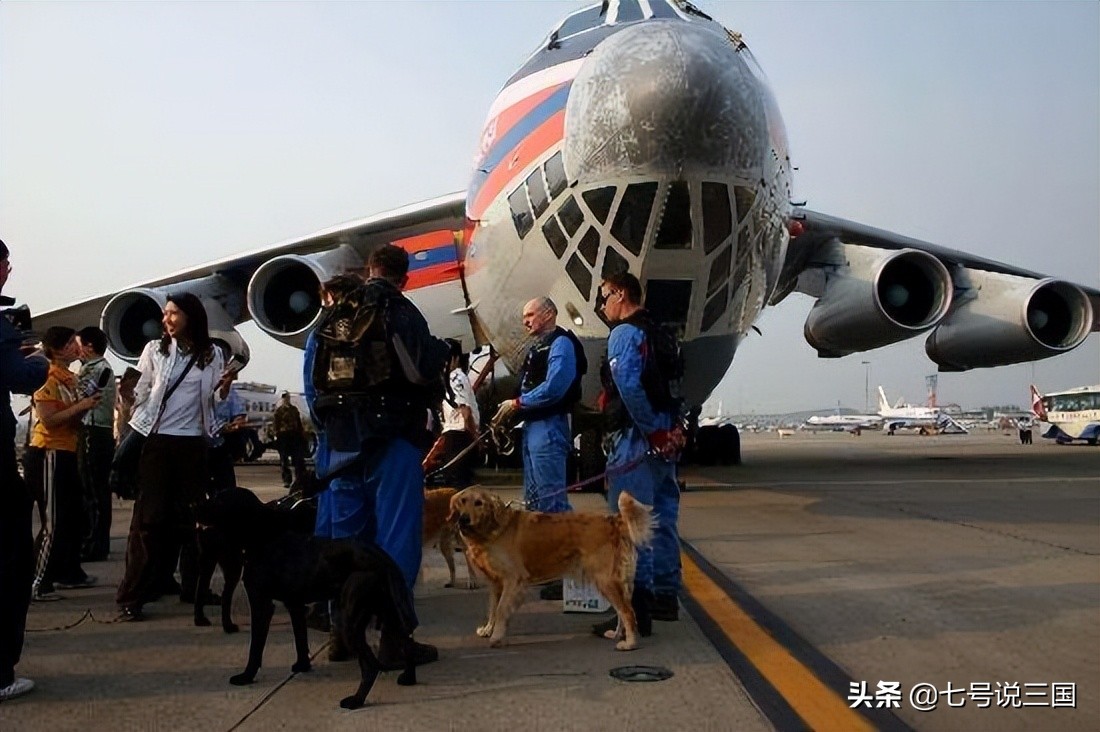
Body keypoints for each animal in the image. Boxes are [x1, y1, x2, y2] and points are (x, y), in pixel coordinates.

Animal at [195, 484, 418, 708]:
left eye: (220, 500)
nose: (194, 506)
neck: (262, 535)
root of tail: (382, 558)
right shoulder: (294, 605)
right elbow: (300, 639)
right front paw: (302, 666)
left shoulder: (261, 603)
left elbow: (255, 647)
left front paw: (246, 676)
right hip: (388, 612)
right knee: (407, 645)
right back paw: (408, 678)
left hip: (351, 617)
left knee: (372, 666)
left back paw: (356, 701)